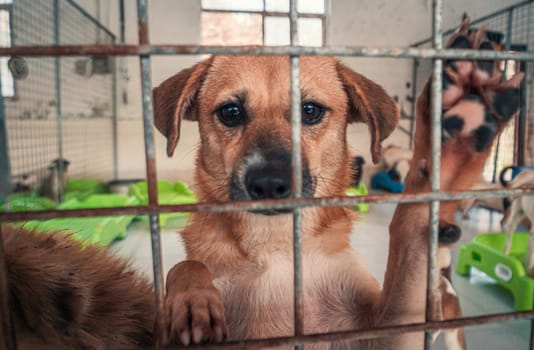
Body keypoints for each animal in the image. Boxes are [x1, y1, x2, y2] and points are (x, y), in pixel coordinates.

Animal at [155, 20, 524, 348]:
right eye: (230, 112)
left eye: (310, 110)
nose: (270, 184)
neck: (276, 245)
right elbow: (185, 265)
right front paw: (194, 299)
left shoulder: (389, 331)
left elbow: (409, 232)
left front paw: (453, 134)